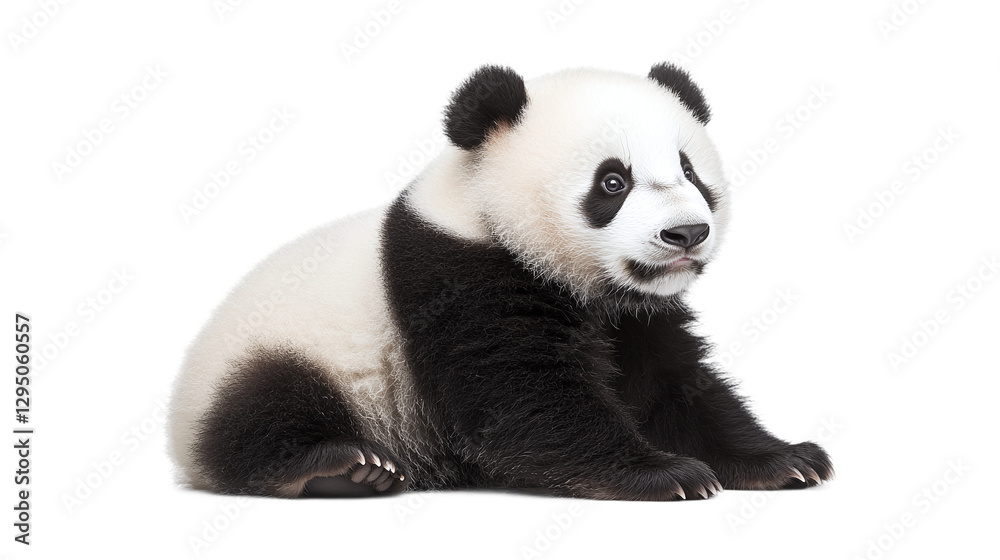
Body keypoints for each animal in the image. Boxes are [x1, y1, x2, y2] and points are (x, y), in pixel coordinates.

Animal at [167, 63, 833, 500]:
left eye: (690, 171)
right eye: (612, 182)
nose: (687, 233)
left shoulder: (638, 317)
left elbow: (675, 387)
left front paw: (784, 459)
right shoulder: (458, 276)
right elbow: (525, 401)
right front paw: (668, 474)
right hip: (276, 355)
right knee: (261, 412)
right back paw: (336, 466)